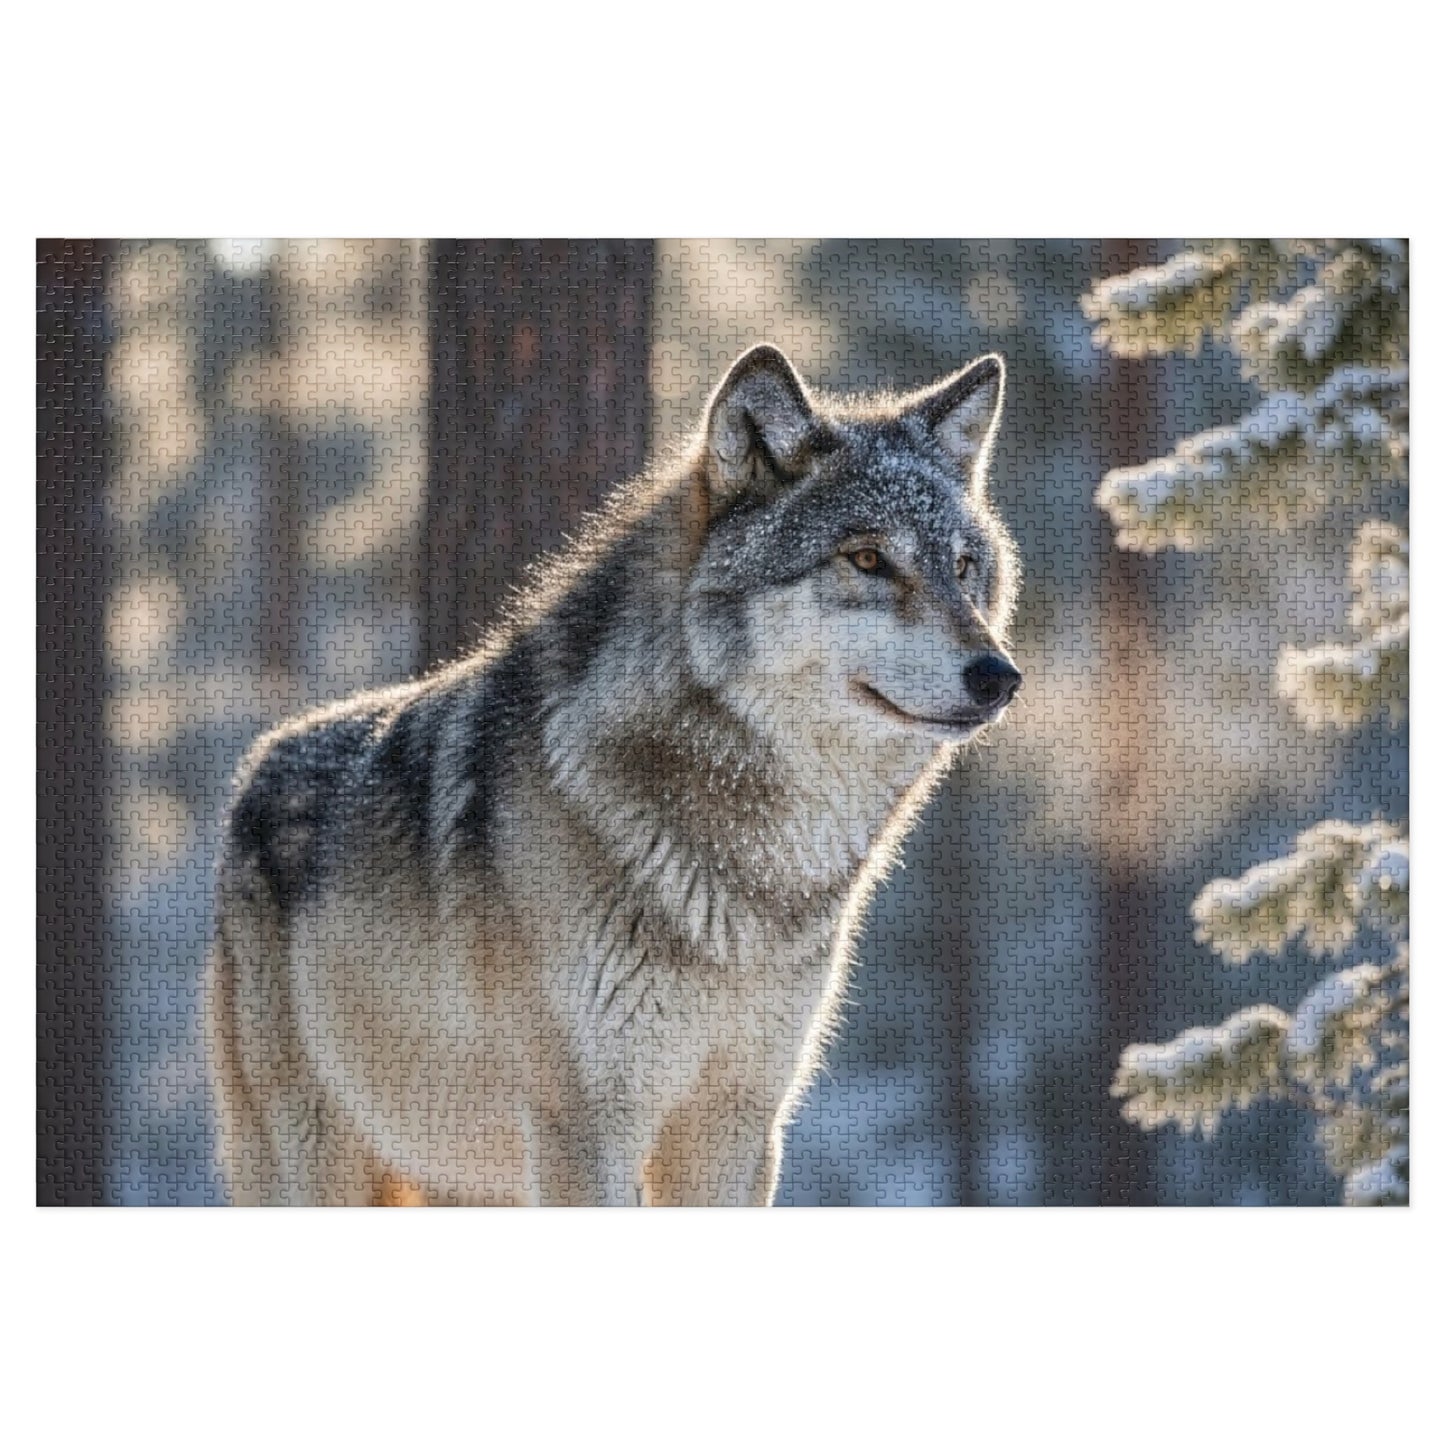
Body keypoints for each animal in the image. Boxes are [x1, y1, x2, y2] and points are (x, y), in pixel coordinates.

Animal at [206, 344, 1022, 1205]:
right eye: (866, 558)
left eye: (964, 567)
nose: (999, 676)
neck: (752, 875)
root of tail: (257, 762)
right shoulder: (585, 1127)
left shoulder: (737, 1124)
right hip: (317, 1163)